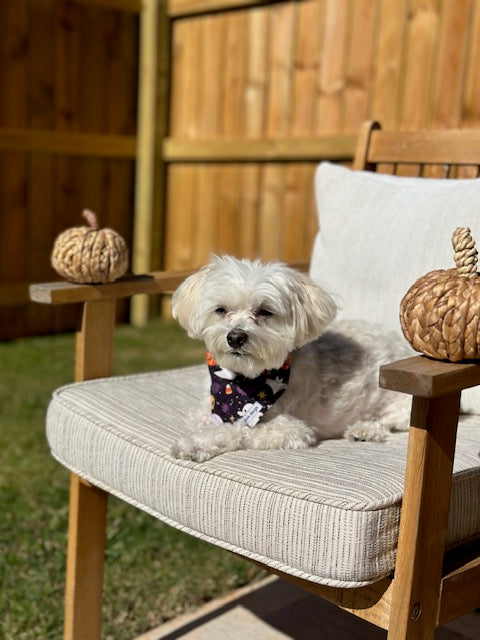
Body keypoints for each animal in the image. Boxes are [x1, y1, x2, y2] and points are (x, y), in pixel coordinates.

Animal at [169, 255, 408, 460]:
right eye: (221, 310)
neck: (244, 380)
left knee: (389, 421)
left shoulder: (292, 430)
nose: (235, 337)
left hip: (401, 407)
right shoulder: (205, 409)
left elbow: (238, 430)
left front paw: (195, 444)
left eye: (265, 312)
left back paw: (364, 430)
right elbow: (207, 419)